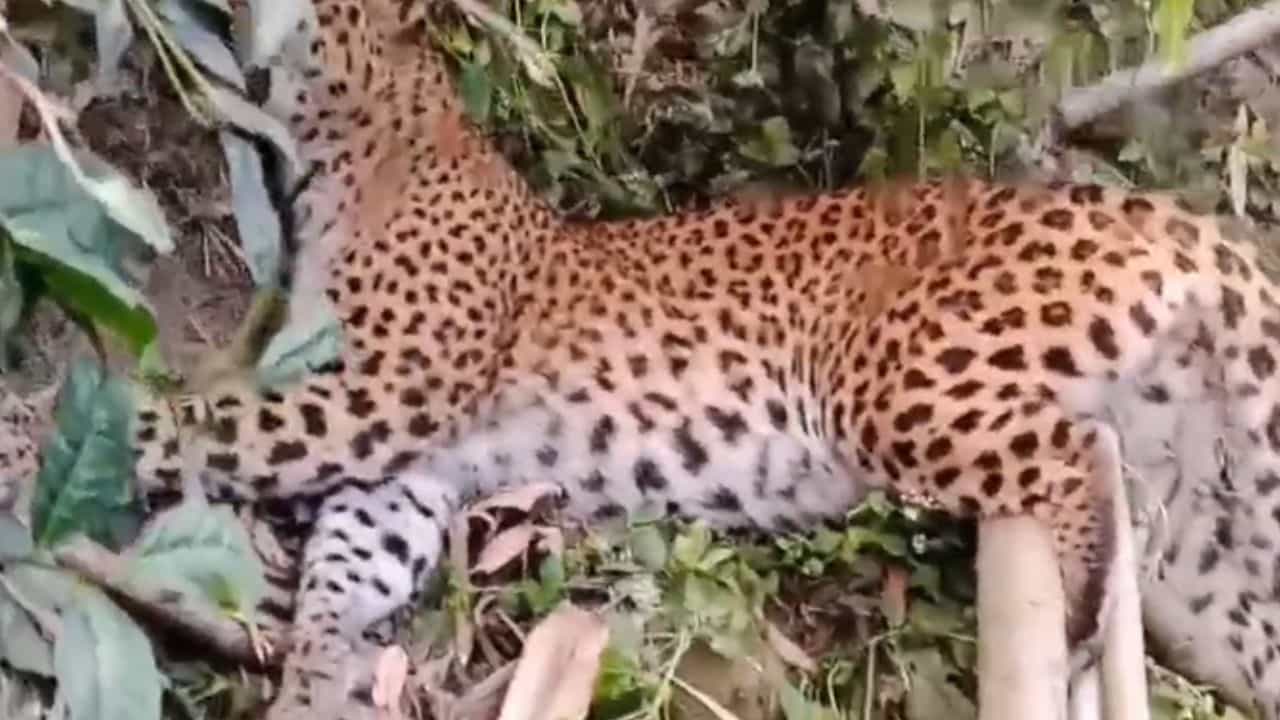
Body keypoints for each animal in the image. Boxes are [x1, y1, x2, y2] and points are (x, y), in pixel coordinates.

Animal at [114, 1, 1280, 719]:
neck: (353, 133)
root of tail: (1165, 214)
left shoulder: (383, 392)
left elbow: (203, 425)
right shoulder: (406, 466)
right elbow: (345, 565)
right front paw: (314, 680)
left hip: (897, 384)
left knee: (1069, 456)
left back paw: (1076, 604)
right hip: (1208, 559)